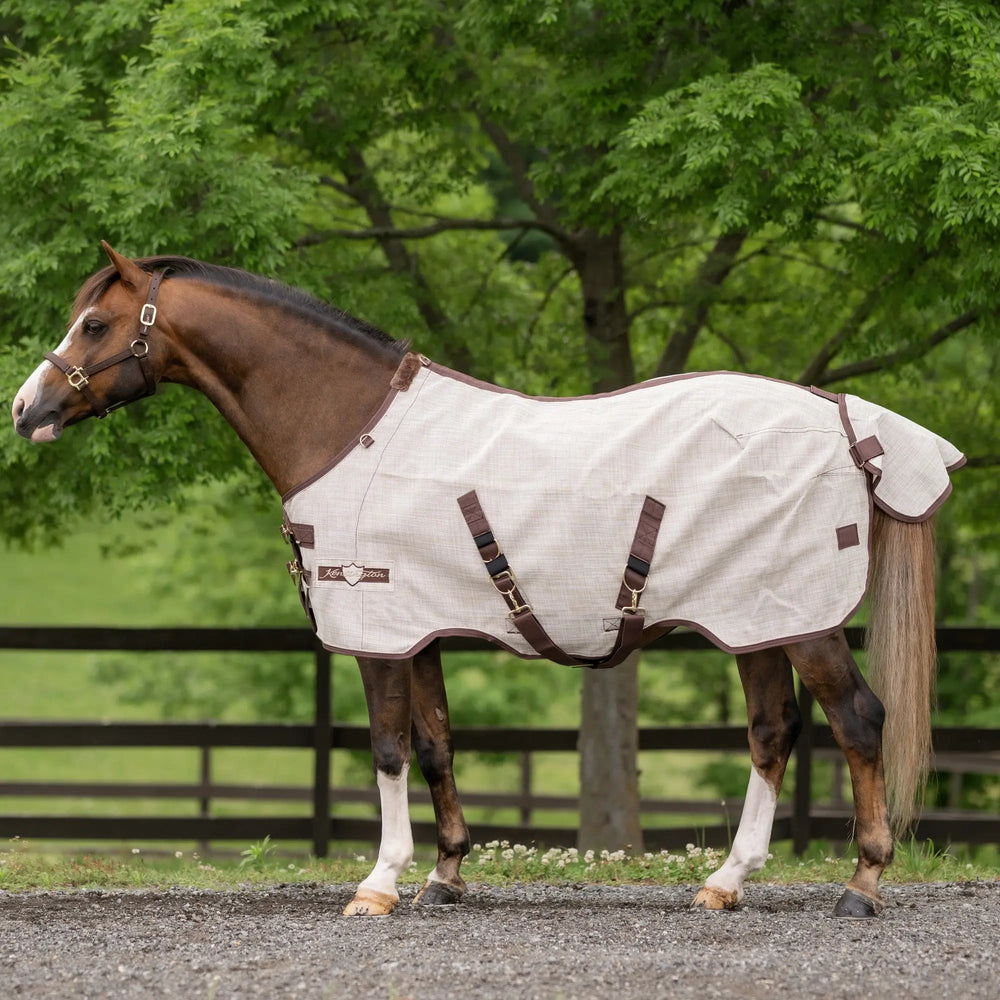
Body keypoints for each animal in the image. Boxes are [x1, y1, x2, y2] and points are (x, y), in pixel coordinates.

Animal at [11, 243, 963, 919]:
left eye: (94, 324)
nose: (26, 410)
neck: (347, 425)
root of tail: (844, 418)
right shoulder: (421, 631)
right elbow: (436, 745)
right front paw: (446, 878)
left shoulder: (378, 633)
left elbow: (388, 748)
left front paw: (380, 883)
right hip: (758, 621)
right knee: (774, 732)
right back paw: (726, 883)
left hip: (805, 623)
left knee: (858, 722)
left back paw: (863, 887)